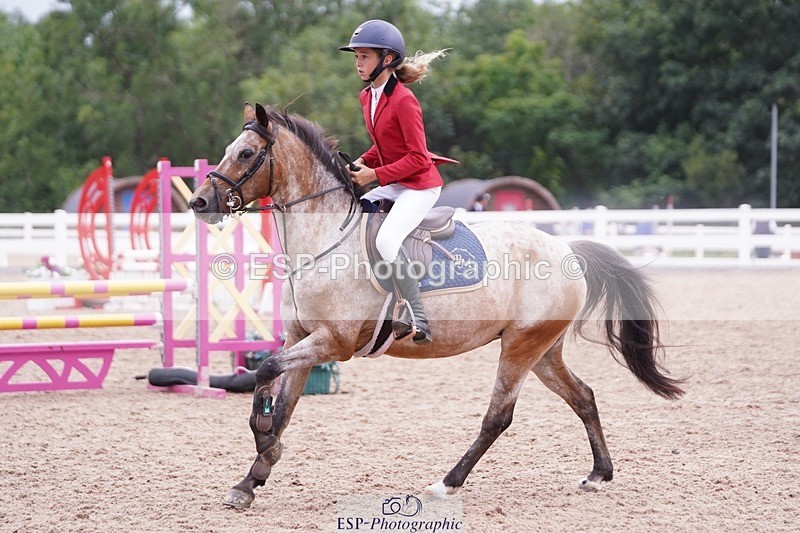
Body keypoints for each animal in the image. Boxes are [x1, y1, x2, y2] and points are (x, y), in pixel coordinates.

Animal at [188, 103, 685, 509]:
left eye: (246, 154)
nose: (199, 202)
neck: (326, 240)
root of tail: (566, 248)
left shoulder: (334, 342)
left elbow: (266, 372)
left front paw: (265, 451)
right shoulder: (302, 337)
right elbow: (283, 405)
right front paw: (251, 478)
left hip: (521, 346)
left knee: (498, 417)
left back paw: (447, 483)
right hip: (543, 349)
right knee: (583, 396)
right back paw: (599, 474)